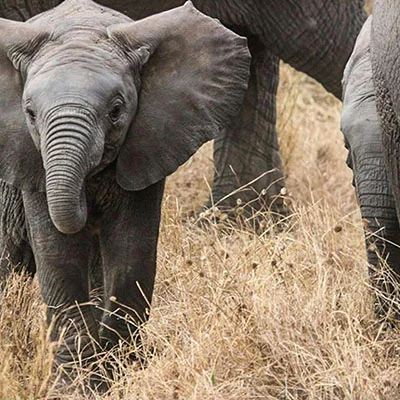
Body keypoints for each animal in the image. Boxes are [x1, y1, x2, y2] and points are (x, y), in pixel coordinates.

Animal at [0, 0, 250, 386]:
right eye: (30, 114)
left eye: (116, 111)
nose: (86, 205)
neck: (80, 28)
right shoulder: (29, 156)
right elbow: (59, 256)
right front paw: (75, 385)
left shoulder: (151, 141)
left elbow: (131, 251)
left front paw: (120, 373)